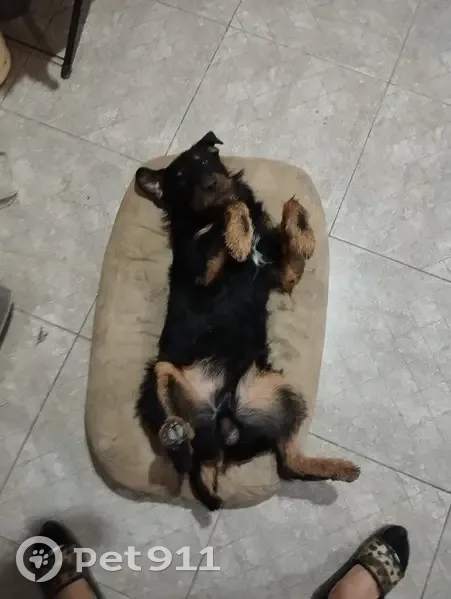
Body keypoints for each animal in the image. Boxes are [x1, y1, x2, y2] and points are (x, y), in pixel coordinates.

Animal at [135, 132, 360, 510]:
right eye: (179, 179)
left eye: (204, 161)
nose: (211, 183)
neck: (203, 218)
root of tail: (224, 428)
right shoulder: (202, 275)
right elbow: (231, 211)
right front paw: (239, 237)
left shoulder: (282, 275)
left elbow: (288, 211)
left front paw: (301, 232)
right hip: (160, 374)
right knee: (183, 458)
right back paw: (175, 435)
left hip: (281, 393)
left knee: (286, 462)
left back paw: (340, 468)